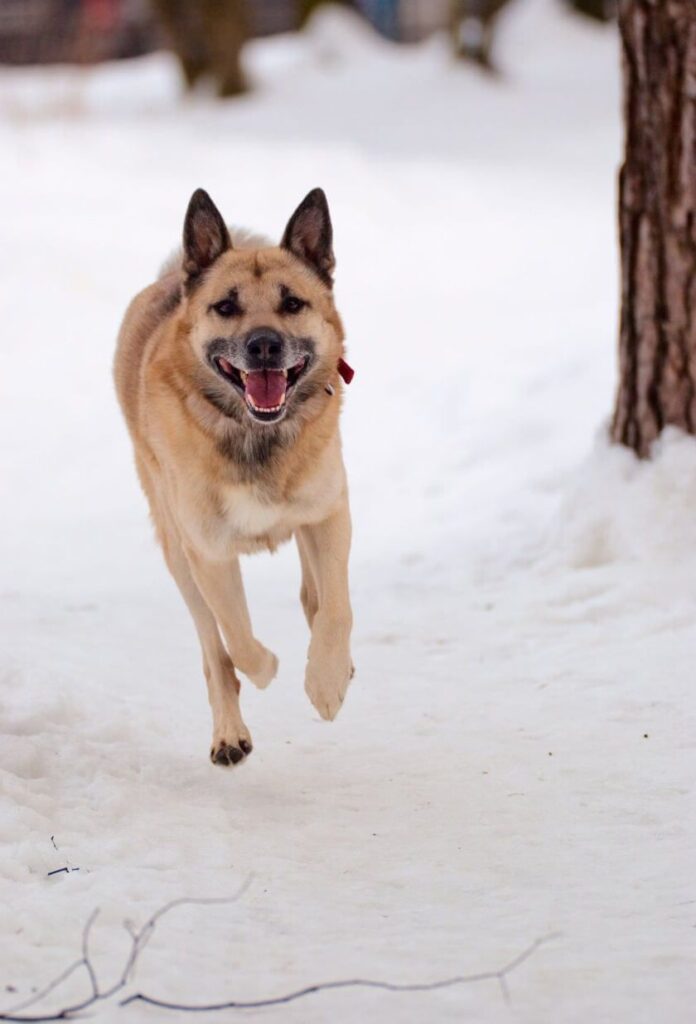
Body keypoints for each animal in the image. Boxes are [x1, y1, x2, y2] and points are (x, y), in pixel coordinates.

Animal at [115, 188, 354, 770]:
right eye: (226, 306)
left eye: (293, 303)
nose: (264, 345)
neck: (254, 435)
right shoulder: (209, 552)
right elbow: (239, 640)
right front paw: (270, 668)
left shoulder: (329, 512)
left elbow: (336, 608)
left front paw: (327, 681)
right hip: (177, 555)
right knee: (214, 650)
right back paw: (229, 733)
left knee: (314, 596)